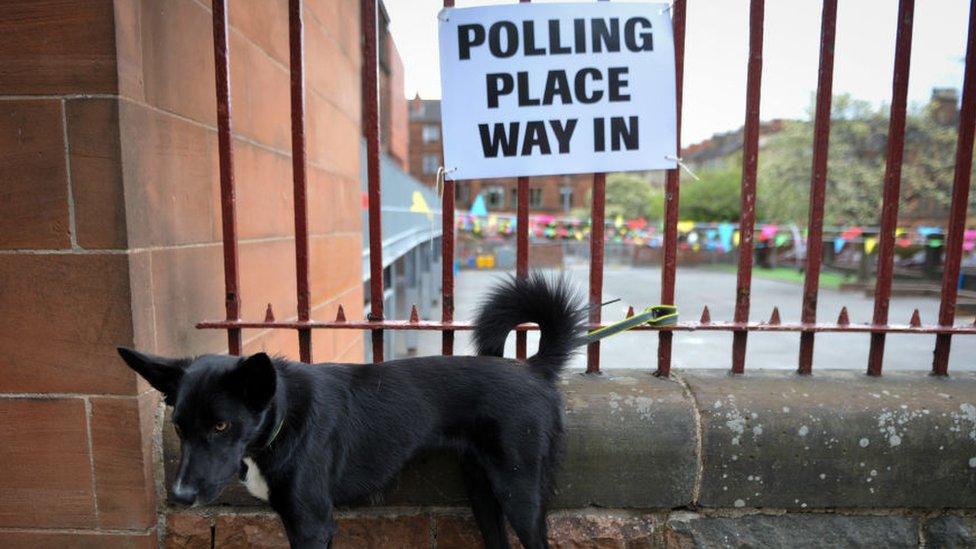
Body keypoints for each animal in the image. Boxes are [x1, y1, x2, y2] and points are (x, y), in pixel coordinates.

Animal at [118, 274, 584, 548]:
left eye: (220, 425)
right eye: (178, 428)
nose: (180, 496)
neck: (285, 416)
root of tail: (534, 368)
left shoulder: (312, 523)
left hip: (519, 489)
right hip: (481, 489)